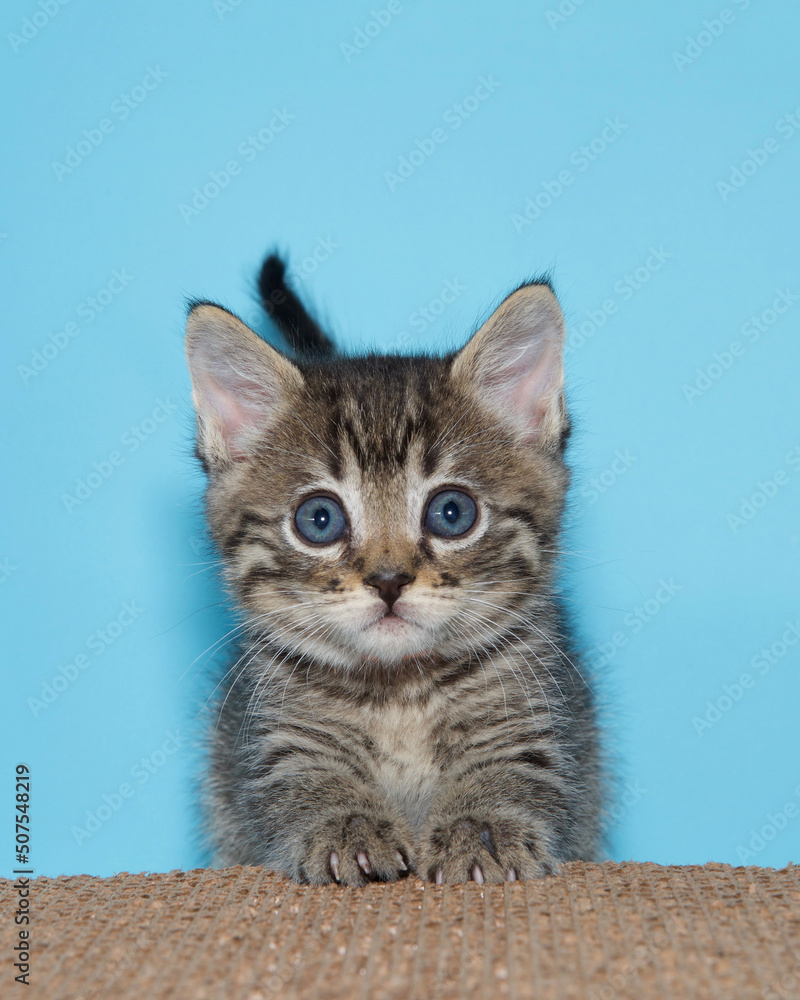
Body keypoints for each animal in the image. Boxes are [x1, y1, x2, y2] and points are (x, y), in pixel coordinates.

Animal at [188, 254, 600, 888]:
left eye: (452, 513)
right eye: (319, 519)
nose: (388, 580)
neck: (399, 691)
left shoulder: (537, 719)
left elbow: (518, 769)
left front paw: (481, 826)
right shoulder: (274, 736)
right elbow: (301, 778)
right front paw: (346, 824)